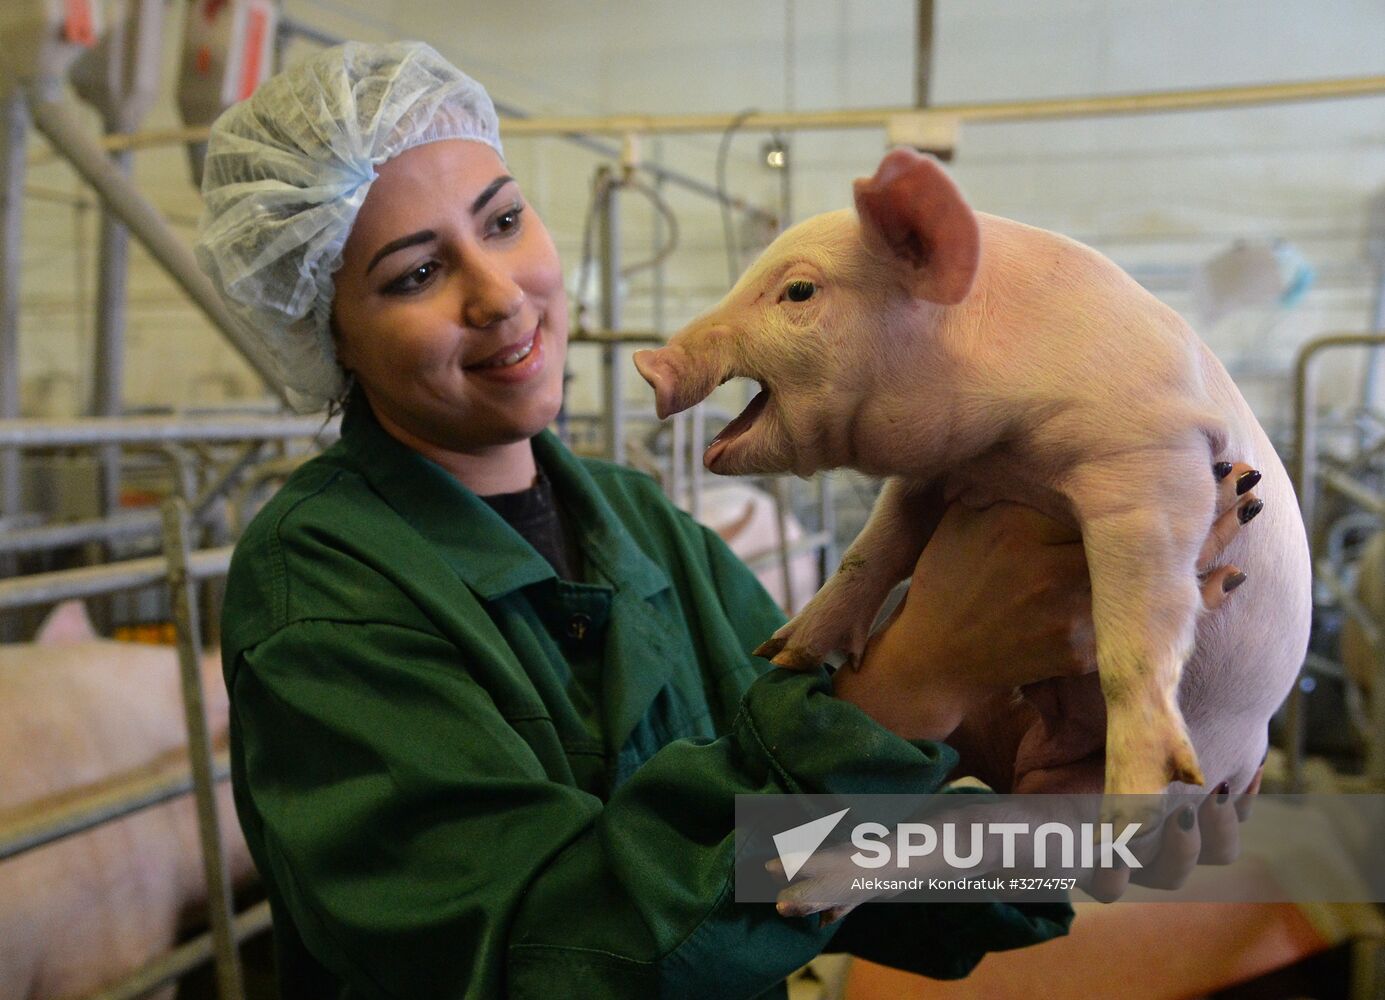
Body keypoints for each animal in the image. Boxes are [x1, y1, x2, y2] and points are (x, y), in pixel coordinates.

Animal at [634, 146, 1312, 803]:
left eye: (799, 291)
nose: (649, 361)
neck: (1005, 454)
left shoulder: (1151, 457)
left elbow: (1138, 617)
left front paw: (1131, 794)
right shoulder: (934, 471)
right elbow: (873, 548)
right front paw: (783, 651)